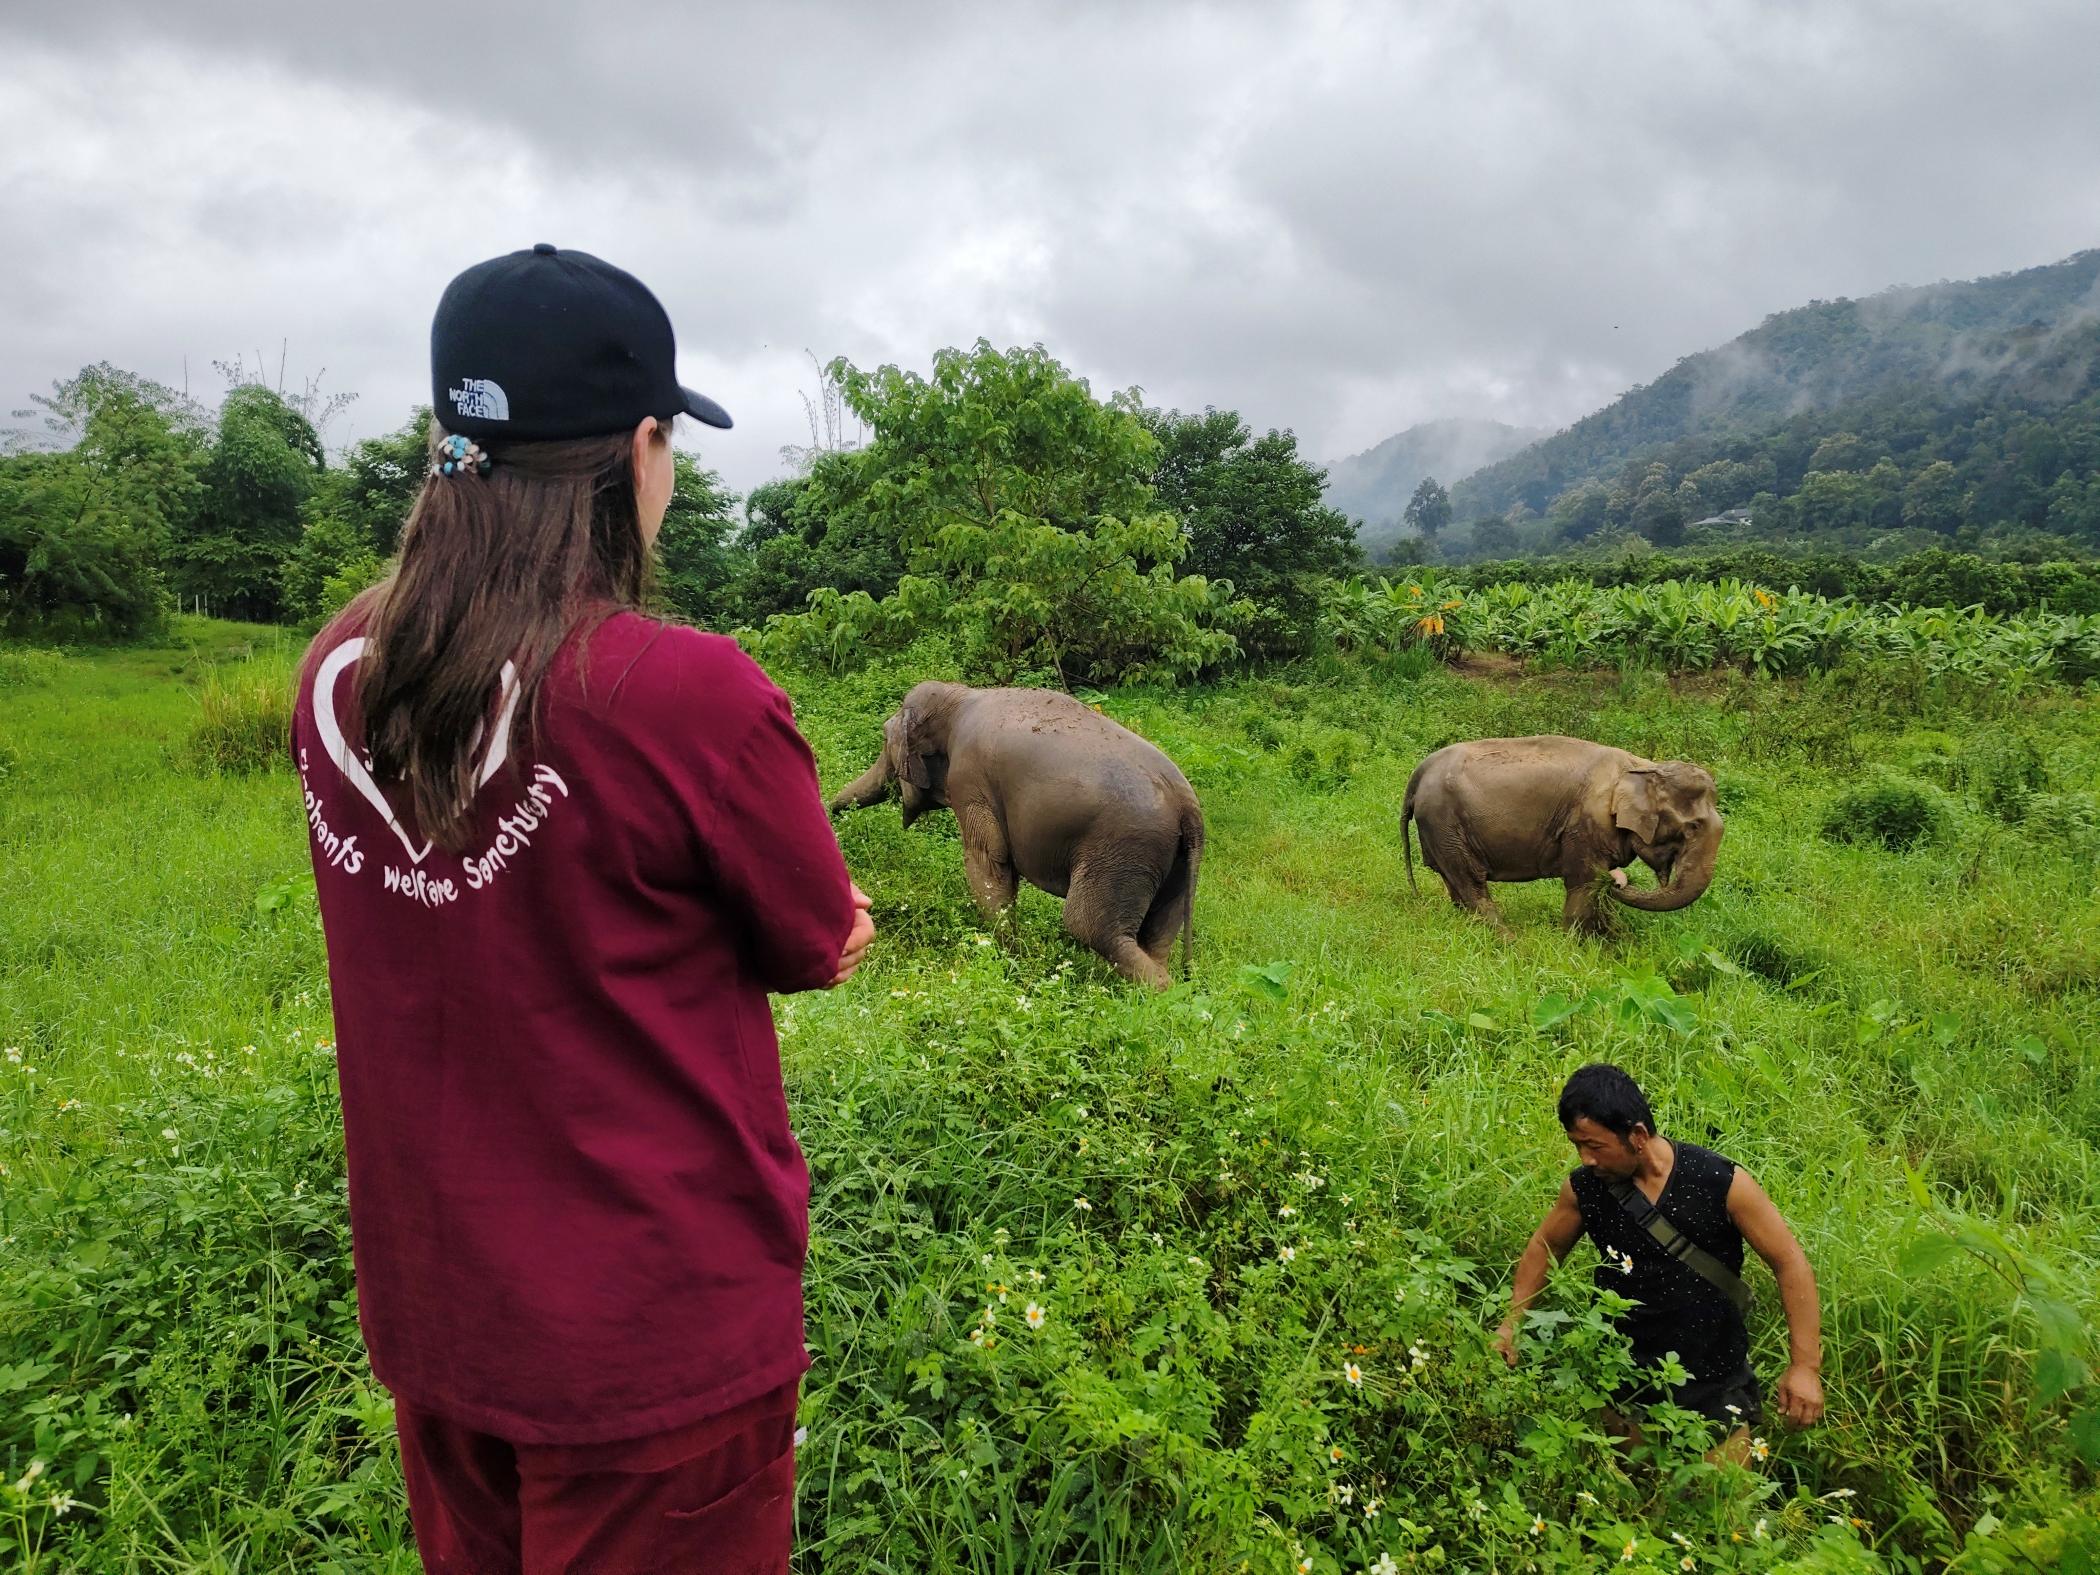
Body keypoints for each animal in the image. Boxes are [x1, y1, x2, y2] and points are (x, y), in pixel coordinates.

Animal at [830, 681, 1205, 988]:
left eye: (884, 737)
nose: (832, 814)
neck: (962, 695)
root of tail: (1187, 808)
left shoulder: (970, 778)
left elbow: (987, 860)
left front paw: (1007, 960)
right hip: (1174, 864)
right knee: (1157, 933)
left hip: (1122, 850)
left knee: (1090, 926)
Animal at [1401, 736, 1723, 933]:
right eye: (1692, 827)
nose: (1620, 881)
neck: (1643, 766)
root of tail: (1418, 772)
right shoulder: (1586, 824)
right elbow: (1585, 881)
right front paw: (1574, 946)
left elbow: (1596, 889)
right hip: (1445, 822)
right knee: (1471, 883)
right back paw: (1510, 942)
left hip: (1440, 829)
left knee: (1454, 882)